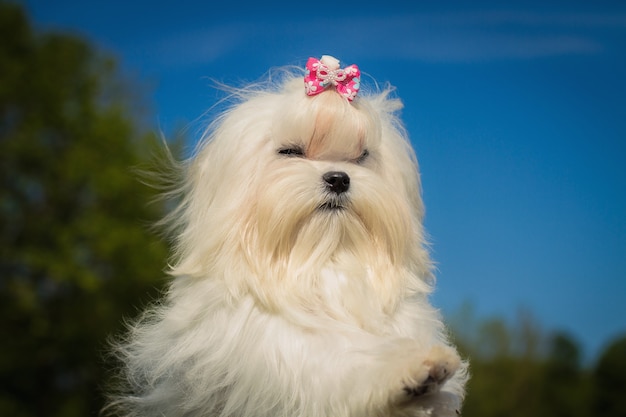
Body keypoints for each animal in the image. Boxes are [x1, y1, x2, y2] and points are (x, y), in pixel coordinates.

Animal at [108, 55, 468, 416]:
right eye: (290, 152)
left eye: (361, 157)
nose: (339, 179)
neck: (319, 266)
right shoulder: (274, 352)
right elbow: (337, 366)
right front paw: (408, 369)